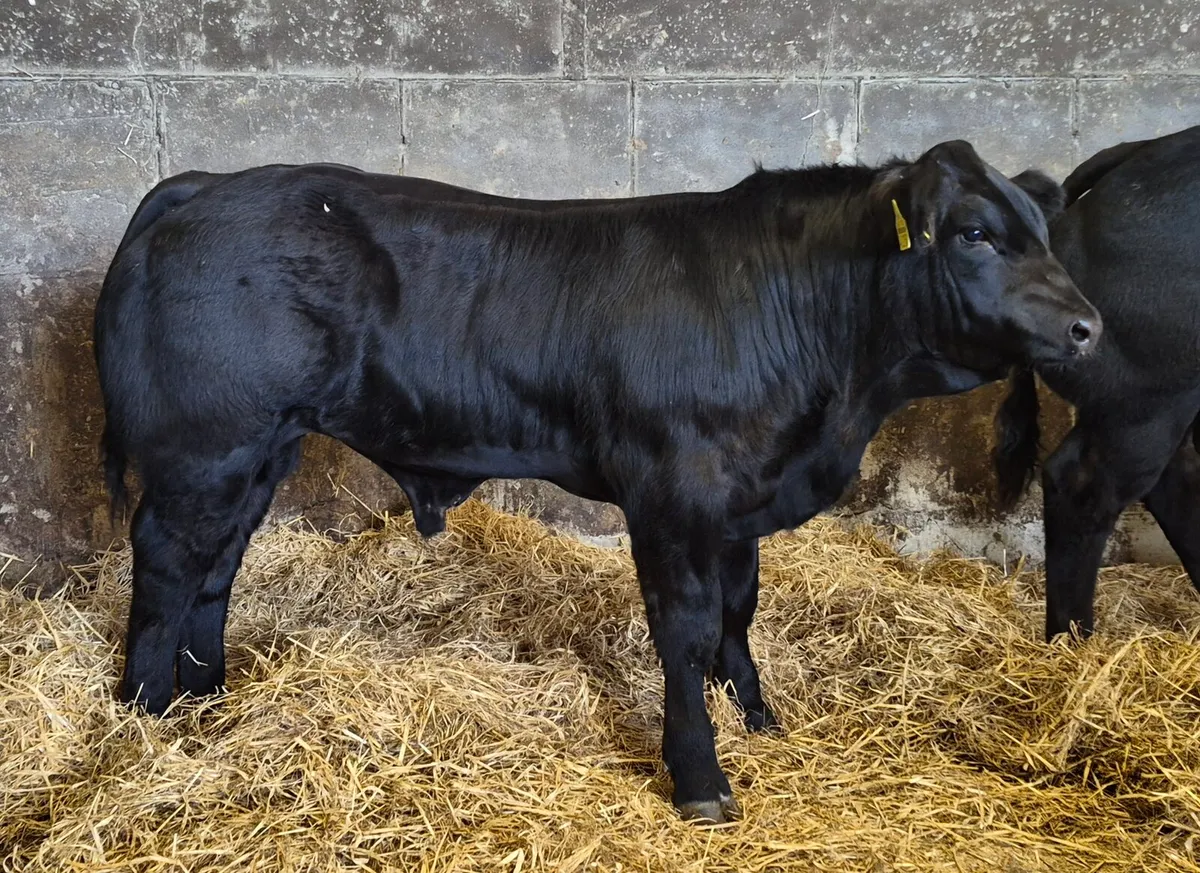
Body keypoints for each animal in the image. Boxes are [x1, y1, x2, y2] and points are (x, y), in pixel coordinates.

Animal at [95, 140, 1099, 822]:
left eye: (1048, 233)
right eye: (974, 233)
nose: (1088, 326)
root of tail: (207, 183)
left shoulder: (739, 500)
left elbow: (739, 611)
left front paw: (760, 718)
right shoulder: (673, 491)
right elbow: (685, 631)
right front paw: (701, 777)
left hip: (259, 448)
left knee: (217, 566)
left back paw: (207, 697)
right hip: (207, 447)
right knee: (167, 561)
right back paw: (145, 716)